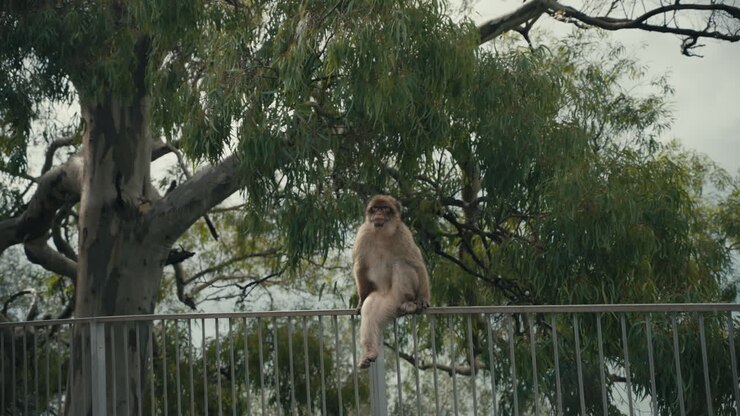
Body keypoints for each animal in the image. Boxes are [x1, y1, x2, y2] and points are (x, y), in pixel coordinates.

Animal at [352, 195, 431, 369]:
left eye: (385, 208)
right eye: (375, 209)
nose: (378, 214)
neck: (381, 233)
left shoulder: (404, 234)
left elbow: (417, 263)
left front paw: (423, 298)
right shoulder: (363, 234)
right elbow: (360, 267)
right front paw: (361, 300)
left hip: (397, 295)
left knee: (401, 263)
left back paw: (409, 302)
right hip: (383, 301)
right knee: (370, 312)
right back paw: (369, 353)